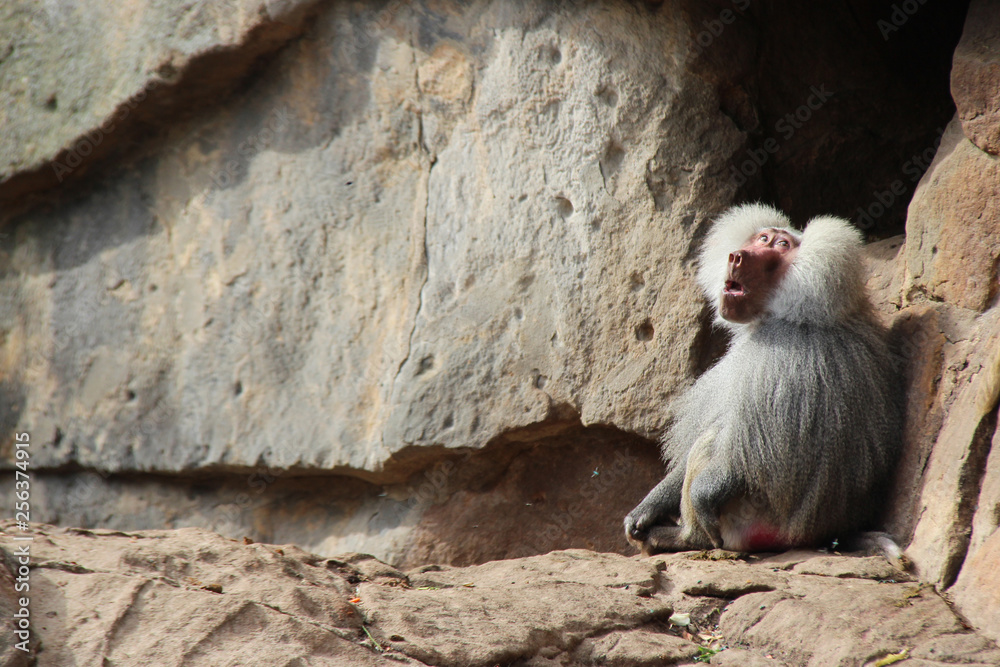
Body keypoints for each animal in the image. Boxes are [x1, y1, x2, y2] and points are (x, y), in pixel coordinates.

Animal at [624, 203, 904, 561]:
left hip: (751, 518)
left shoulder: (788, 358)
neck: (786, 314)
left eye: (781, 246)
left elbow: (755, 453)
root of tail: (818, 535)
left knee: (715, 449)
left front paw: (698, 498)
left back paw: (681, 538)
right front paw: (648, 508)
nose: (737, 256)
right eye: (762, 238)